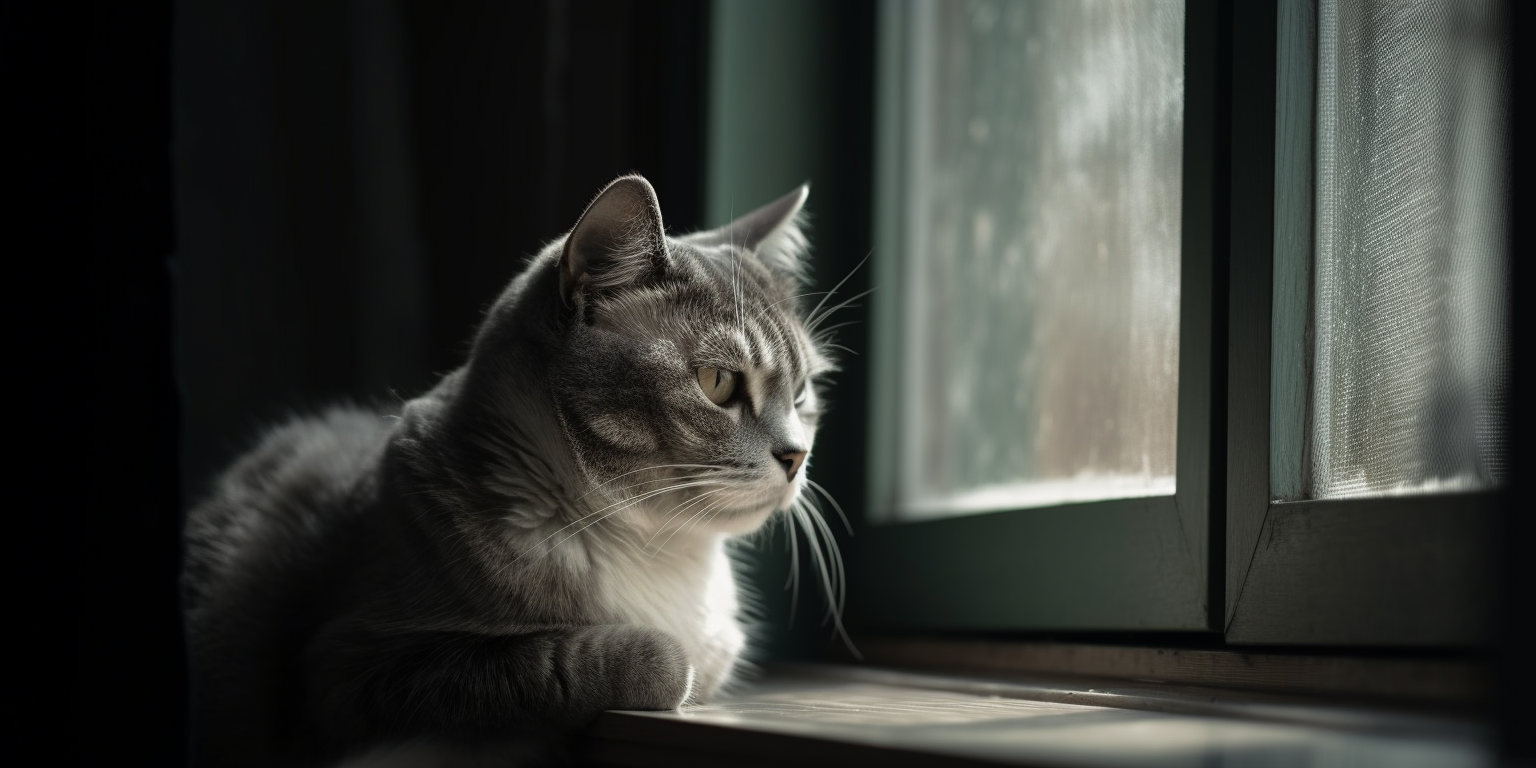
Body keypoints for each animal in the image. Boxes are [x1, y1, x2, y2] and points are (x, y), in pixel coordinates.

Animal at [185, 176, 847, 764]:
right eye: (718, 383)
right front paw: (658, 660)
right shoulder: (349, 667)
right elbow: (551, 663)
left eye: (803, 394)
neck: (655, 551)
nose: (797, 455)